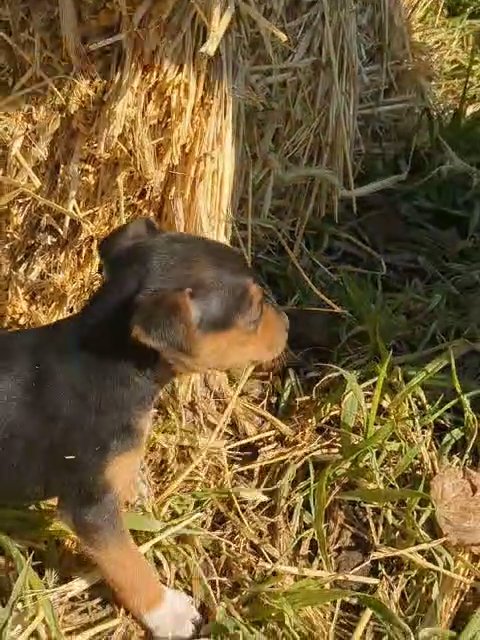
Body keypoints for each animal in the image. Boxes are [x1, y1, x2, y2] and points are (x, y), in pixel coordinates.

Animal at [0, 218, 286, 636]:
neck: (109, 364)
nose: (287, 324)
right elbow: (129, 564)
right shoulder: (90, 507)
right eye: (253, 311)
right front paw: (168, 613)